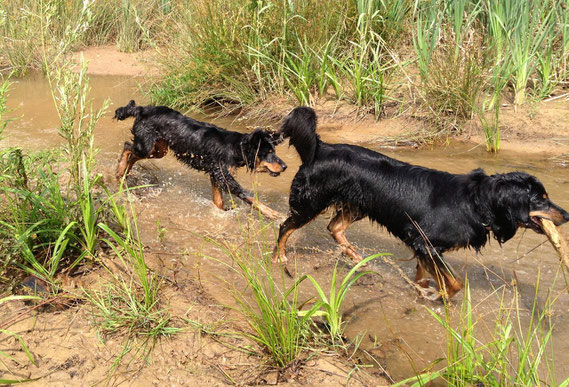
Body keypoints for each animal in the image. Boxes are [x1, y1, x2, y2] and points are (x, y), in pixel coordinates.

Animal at [114, 101, 288, 220]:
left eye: (274, 151)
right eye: (269, 152)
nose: (285, 166)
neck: (235, 147)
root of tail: (142, 109)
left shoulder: (215, 174)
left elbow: (218, 201)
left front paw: (222, 213)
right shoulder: (223, 175)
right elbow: (248, 195)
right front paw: (272, 213)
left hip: (158, 149)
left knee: (132, 154)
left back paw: (124, 174)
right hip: (146, 145)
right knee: (128, 146)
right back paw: (120, 171)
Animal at [272, 107, 564, 302]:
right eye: (541, 198)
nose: (567, 215)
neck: (477, 201)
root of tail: (322, 149)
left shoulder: (423, 246)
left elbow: (425, 274)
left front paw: (422, 288)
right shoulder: (425, 242)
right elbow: (455, 283)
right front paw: (438, 297)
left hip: (357, 205)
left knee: (335, 228)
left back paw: (359, 259)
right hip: (310, 203)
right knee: (285, 227)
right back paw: (279, 258)